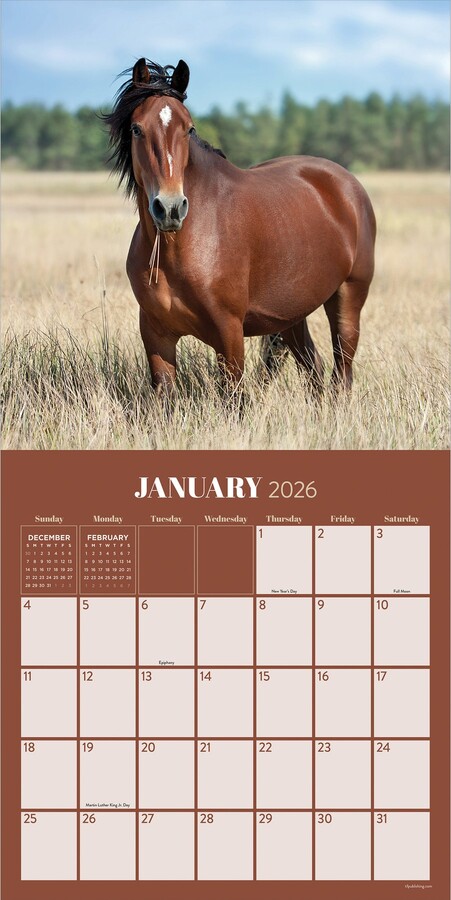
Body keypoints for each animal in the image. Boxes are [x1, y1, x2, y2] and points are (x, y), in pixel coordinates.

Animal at [105, 59, 376, 397]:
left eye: (189, 128)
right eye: (136, 129)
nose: (170, 208)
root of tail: (348, 184)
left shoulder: (229, 333)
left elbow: (234, 399)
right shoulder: (157, 335)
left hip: (348, 299)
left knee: (342, 373)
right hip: (292, 317)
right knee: (314, 369)